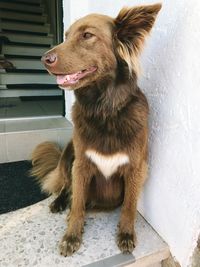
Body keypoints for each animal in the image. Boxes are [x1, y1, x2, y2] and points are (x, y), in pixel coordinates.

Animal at [30, 3, 161, 258]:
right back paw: (59, 203)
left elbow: (129, 206)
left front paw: (126, 234)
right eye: (66, 36)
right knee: (66, 187)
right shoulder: (80, 165)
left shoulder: (136, 168)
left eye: (87, 35)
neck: (104, 110)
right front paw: (72, 236)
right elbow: (78, 203)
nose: (44, 59)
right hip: (68, 154)